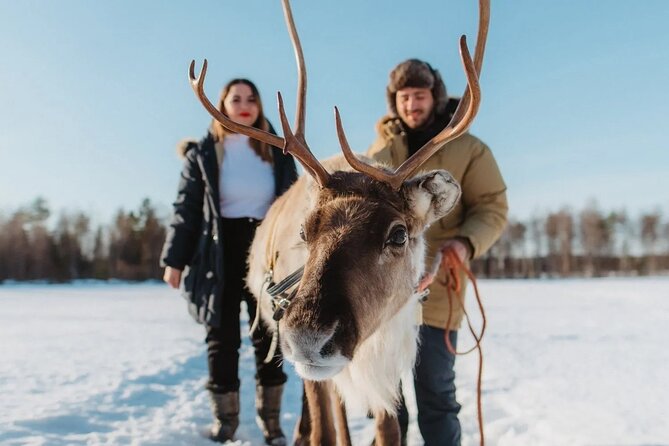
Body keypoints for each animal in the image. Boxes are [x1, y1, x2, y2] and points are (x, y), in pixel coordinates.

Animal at [188, 0, 488, 443]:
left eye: (398, 235)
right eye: (305, 231)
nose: (308, 339)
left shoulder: (387, 366)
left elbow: (389, 430)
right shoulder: (312, 363)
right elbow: (324, 429)